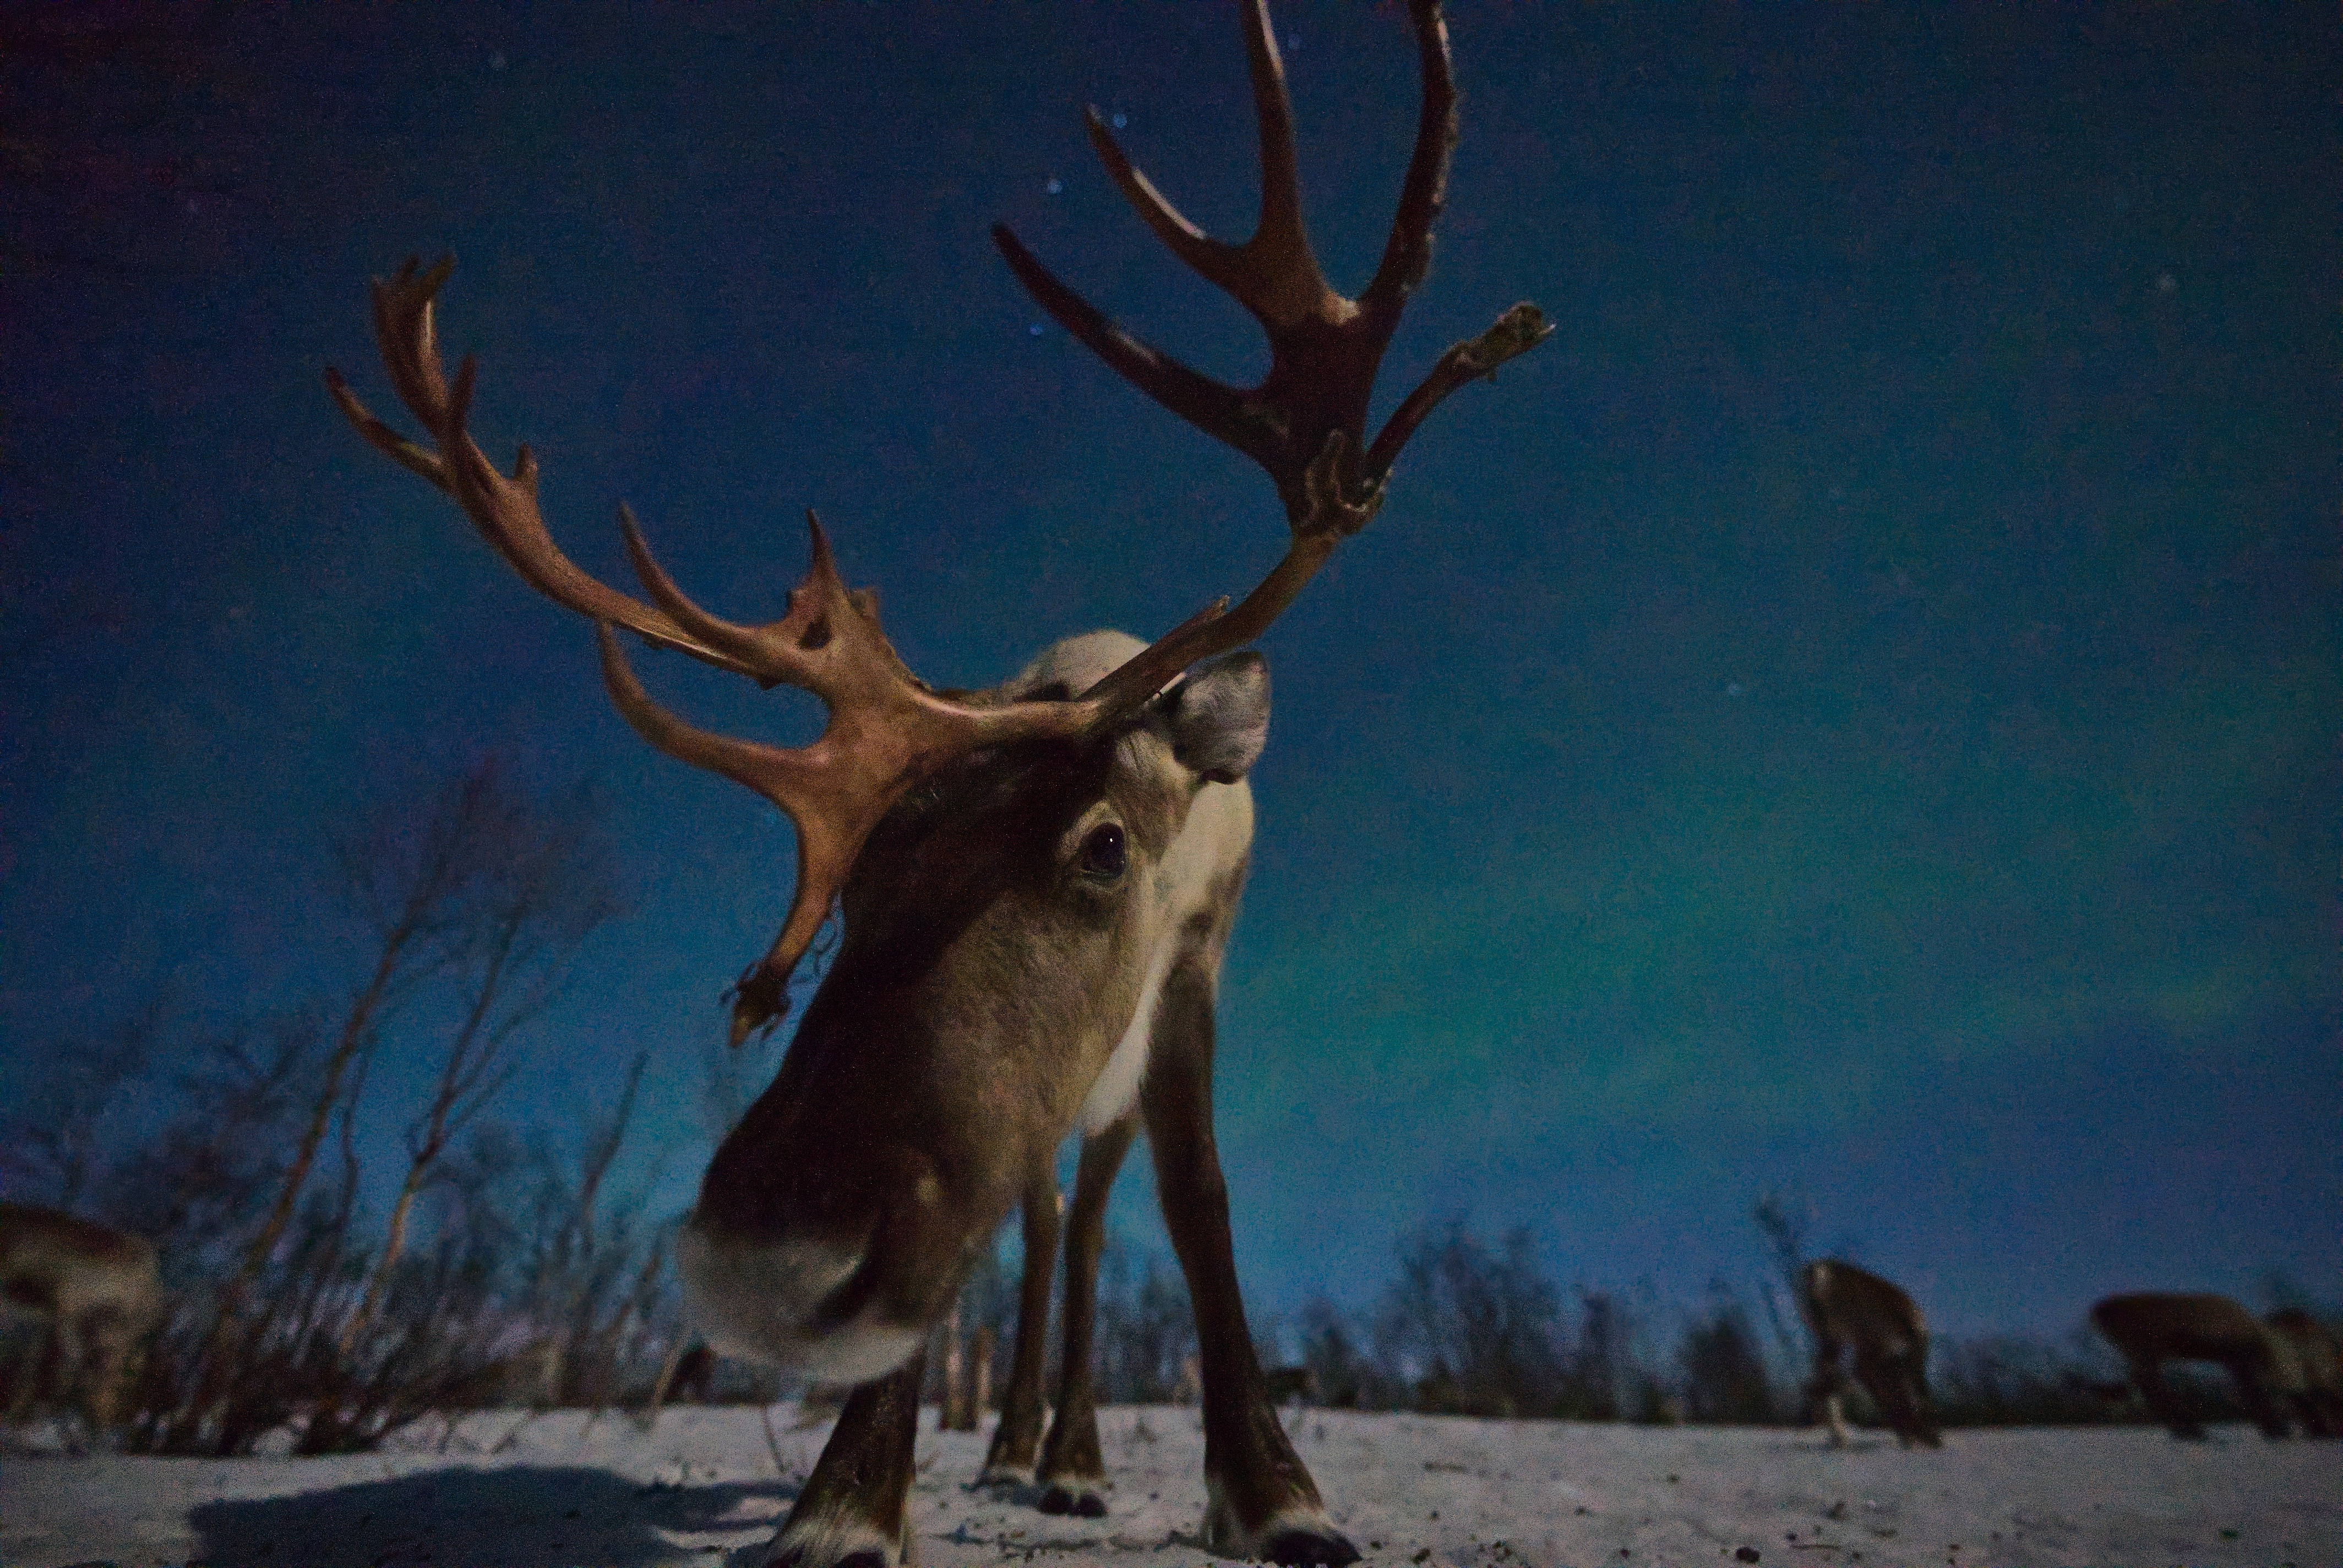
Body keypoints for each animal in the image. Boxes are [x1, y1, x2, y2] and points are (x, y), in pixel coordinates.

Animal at [325, 2, 1546, 1562]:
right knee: (1037, 1218)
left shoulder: (1196, 960)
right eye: (847, 890)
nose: (769, 1256)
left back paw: (1070, 1449)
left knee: (1088, 1217)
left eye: (1102, 846)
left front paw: (1276, 1488)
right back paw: (1022, 1435)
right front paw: (849, 1491)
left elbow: (1197, 1197)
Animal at [1797, 1259, 1941, 1449]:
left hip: (1836, 1340)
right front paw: (1914, 1436)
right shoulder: (1876, 1357)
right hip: (1847, 1340)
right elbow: (1894, 1398)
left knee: (1828, 1378)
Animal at [2090, 1292, 2329, 1440]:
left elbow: (2253, 1392)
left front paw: (2275, 1428)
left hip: (2145, 1353)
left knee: (2145, 1385)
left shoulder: (2235, 1360)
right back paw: (2191, 1430)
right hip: (2145, 1350)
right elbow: (2256, 1392)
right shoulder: (2243, 1360)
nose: (2322, 1429)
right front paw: (2277, 1429)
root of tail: (2098, 1311)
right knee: (2149, 1385)